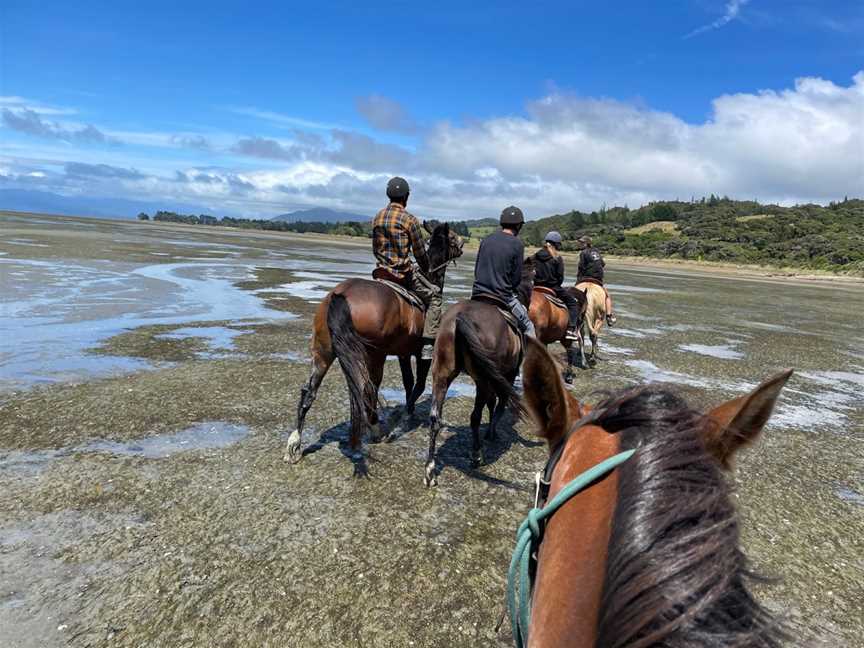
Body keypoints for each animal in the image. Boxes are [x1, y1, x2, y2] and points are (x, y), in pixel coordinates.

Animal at [284, 220, 462, 464]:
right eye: (452, 237)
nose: (462, 243)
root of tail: (341, 294)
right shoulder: (420, 352)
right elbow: (418, 384)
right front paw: (404, 415)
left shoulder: (403, 352)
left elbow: (408, 382)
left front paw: (406, 411)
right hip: (374, 355)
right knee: (368, 388)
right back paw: (377, 429)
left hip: (323, 351)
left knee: (309, 391)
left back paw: (294, 443)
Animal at [424, 258, 536, 486]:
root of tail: (459, 318)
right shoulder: (507, 374)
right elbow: (499, 403)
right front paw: (492, 432)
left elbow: (492, 403)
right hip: (484, 378)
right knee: (475, 416)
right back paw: (476, 455)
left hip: (442, 374)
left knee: (434, 418)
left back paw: (430, 470)